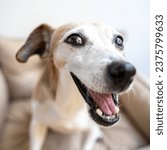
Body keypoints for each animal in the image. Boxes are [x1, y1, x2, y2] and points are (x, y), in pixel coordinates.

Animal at [15, 22, 136, 150]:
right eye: (74, 39)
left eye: (119, 40)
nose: (127, 71)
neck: (71, 104)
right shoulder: (37, 124)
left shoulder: (92, 130)